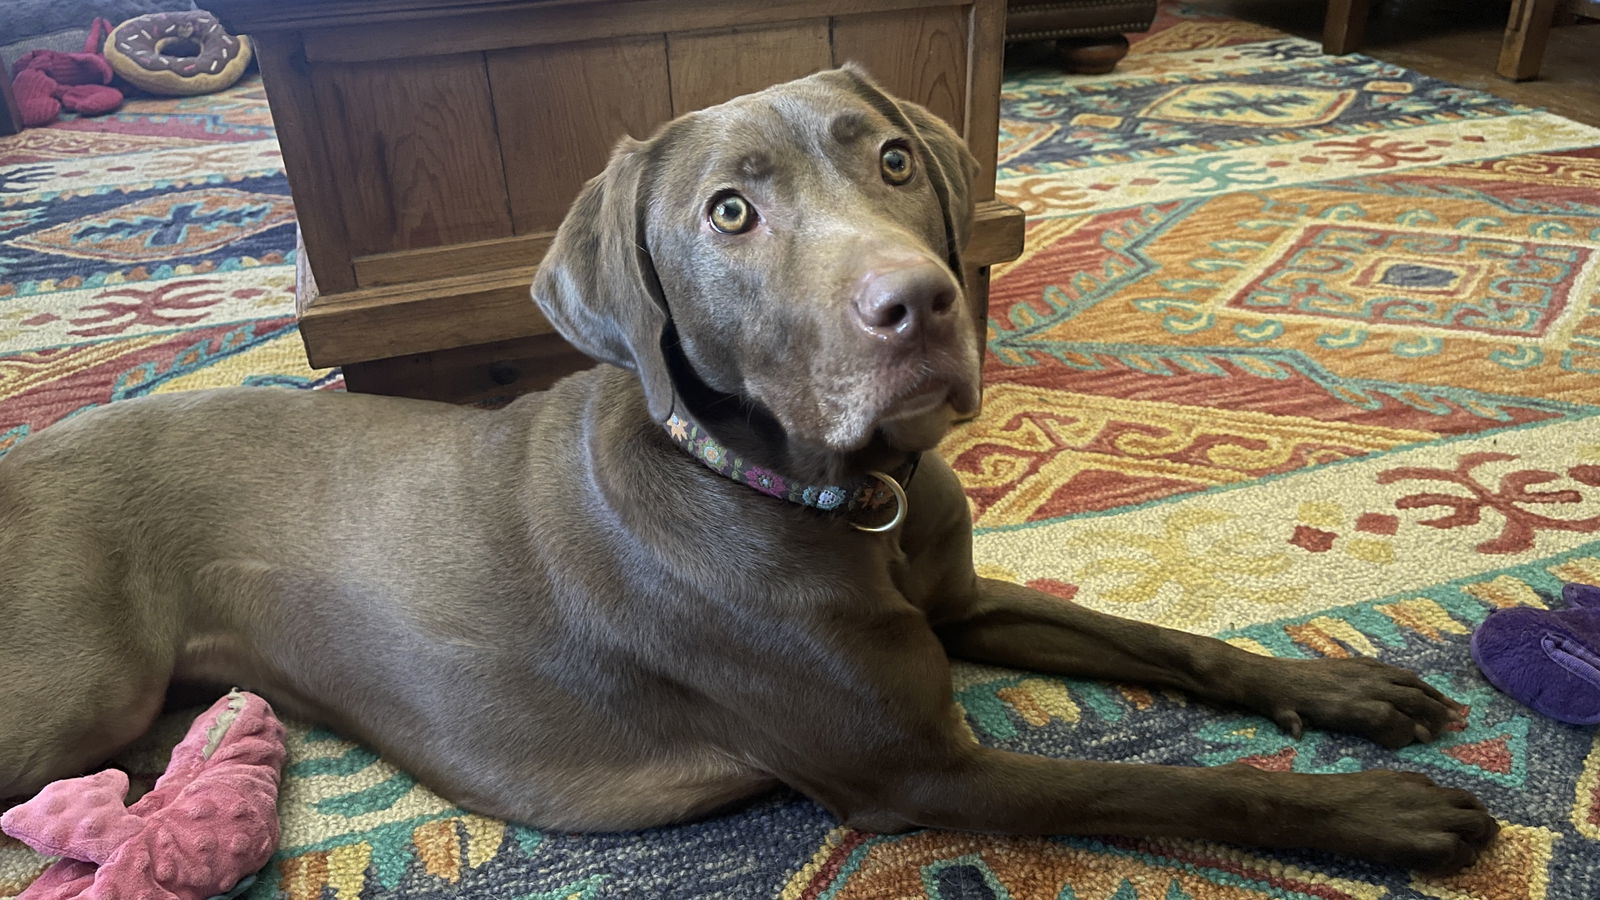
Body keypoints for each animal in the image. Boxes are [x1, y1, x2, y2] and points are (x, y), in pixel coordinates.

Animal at [0, 66, 1497, 871]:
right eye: (731, 211)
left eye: (891, 158)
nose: (918, 304)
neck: (837, 500)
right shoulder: (919, 776)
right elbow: (1156, 784)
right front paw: (1373, 811)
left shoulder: (955, 605)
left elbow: (1158, 640)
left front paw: (1344, 691)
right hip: (77, 685)